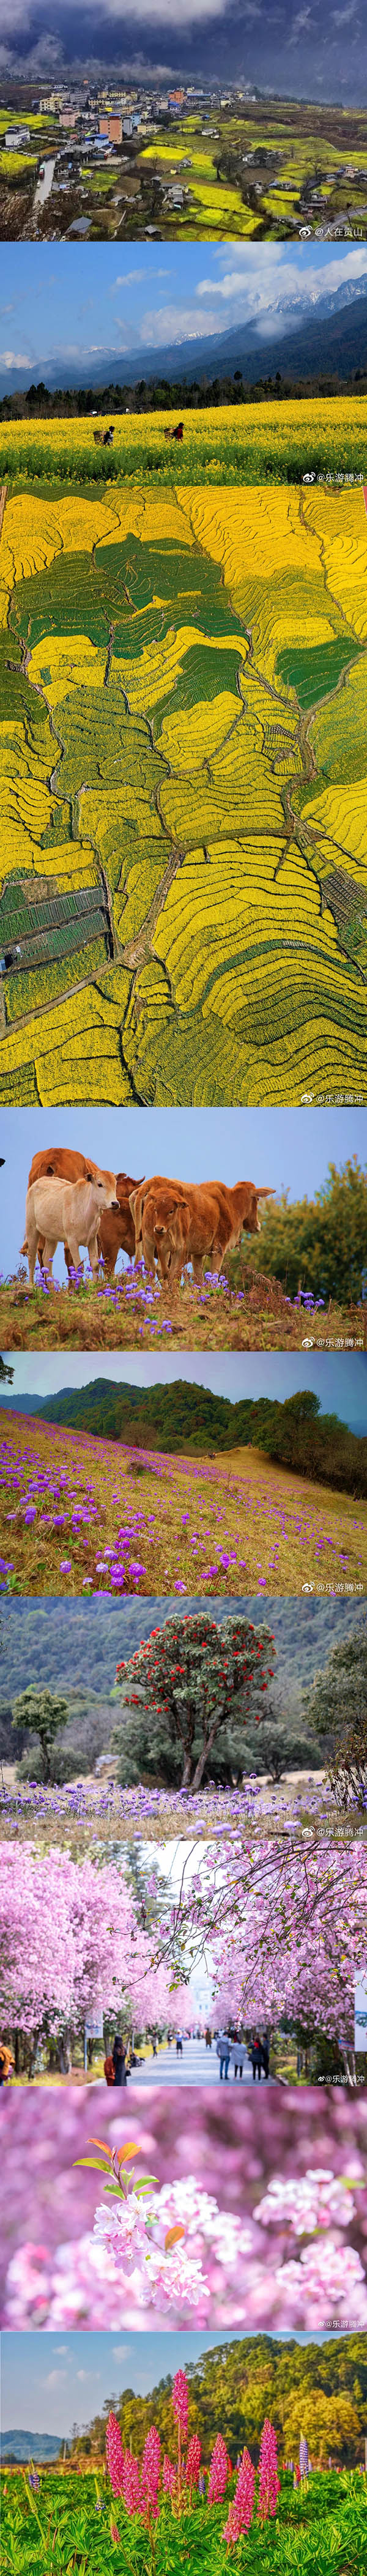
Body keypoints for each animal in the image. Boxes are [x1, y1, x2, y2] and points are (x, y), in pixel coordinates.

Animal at [24, 1174, 119, 1282]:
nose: (115, 1203)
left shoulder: (93, 1239)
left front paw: (95, 1283)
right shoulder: (72, 1241)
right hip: (31, 1228)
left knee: (47, 1259)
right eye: (100, 1184)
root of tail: (40, 1180)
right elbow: (79, 1266)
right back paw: (31, 1285)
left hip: (52, 1237)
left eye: (115, 1184)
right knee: (32, 1258)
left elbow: (95, 1265)